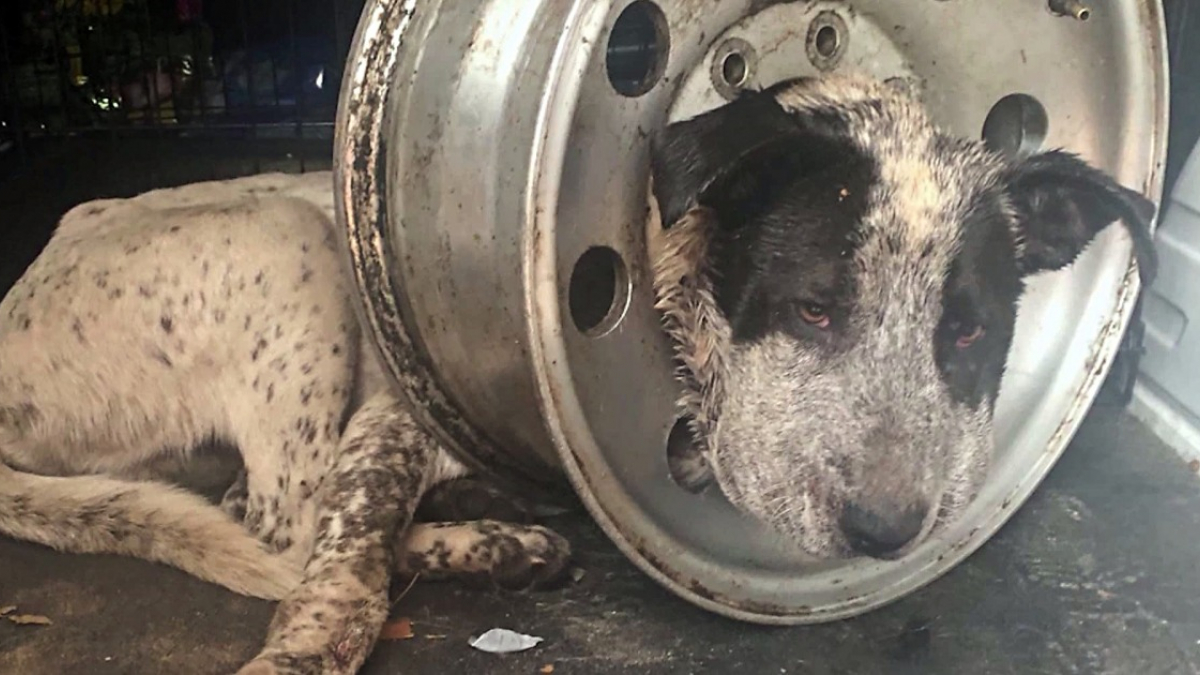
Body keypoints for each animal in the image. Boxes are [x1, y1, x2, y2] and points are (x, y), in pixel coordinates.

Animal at [0, 73, 1156, 667]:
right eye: (815, 307)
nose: (884, 531)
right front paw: (312, 639)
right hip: (290, 242)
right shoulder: (390, 418)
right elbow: (345, 552)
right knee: (280, 519)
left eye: (968, 335)